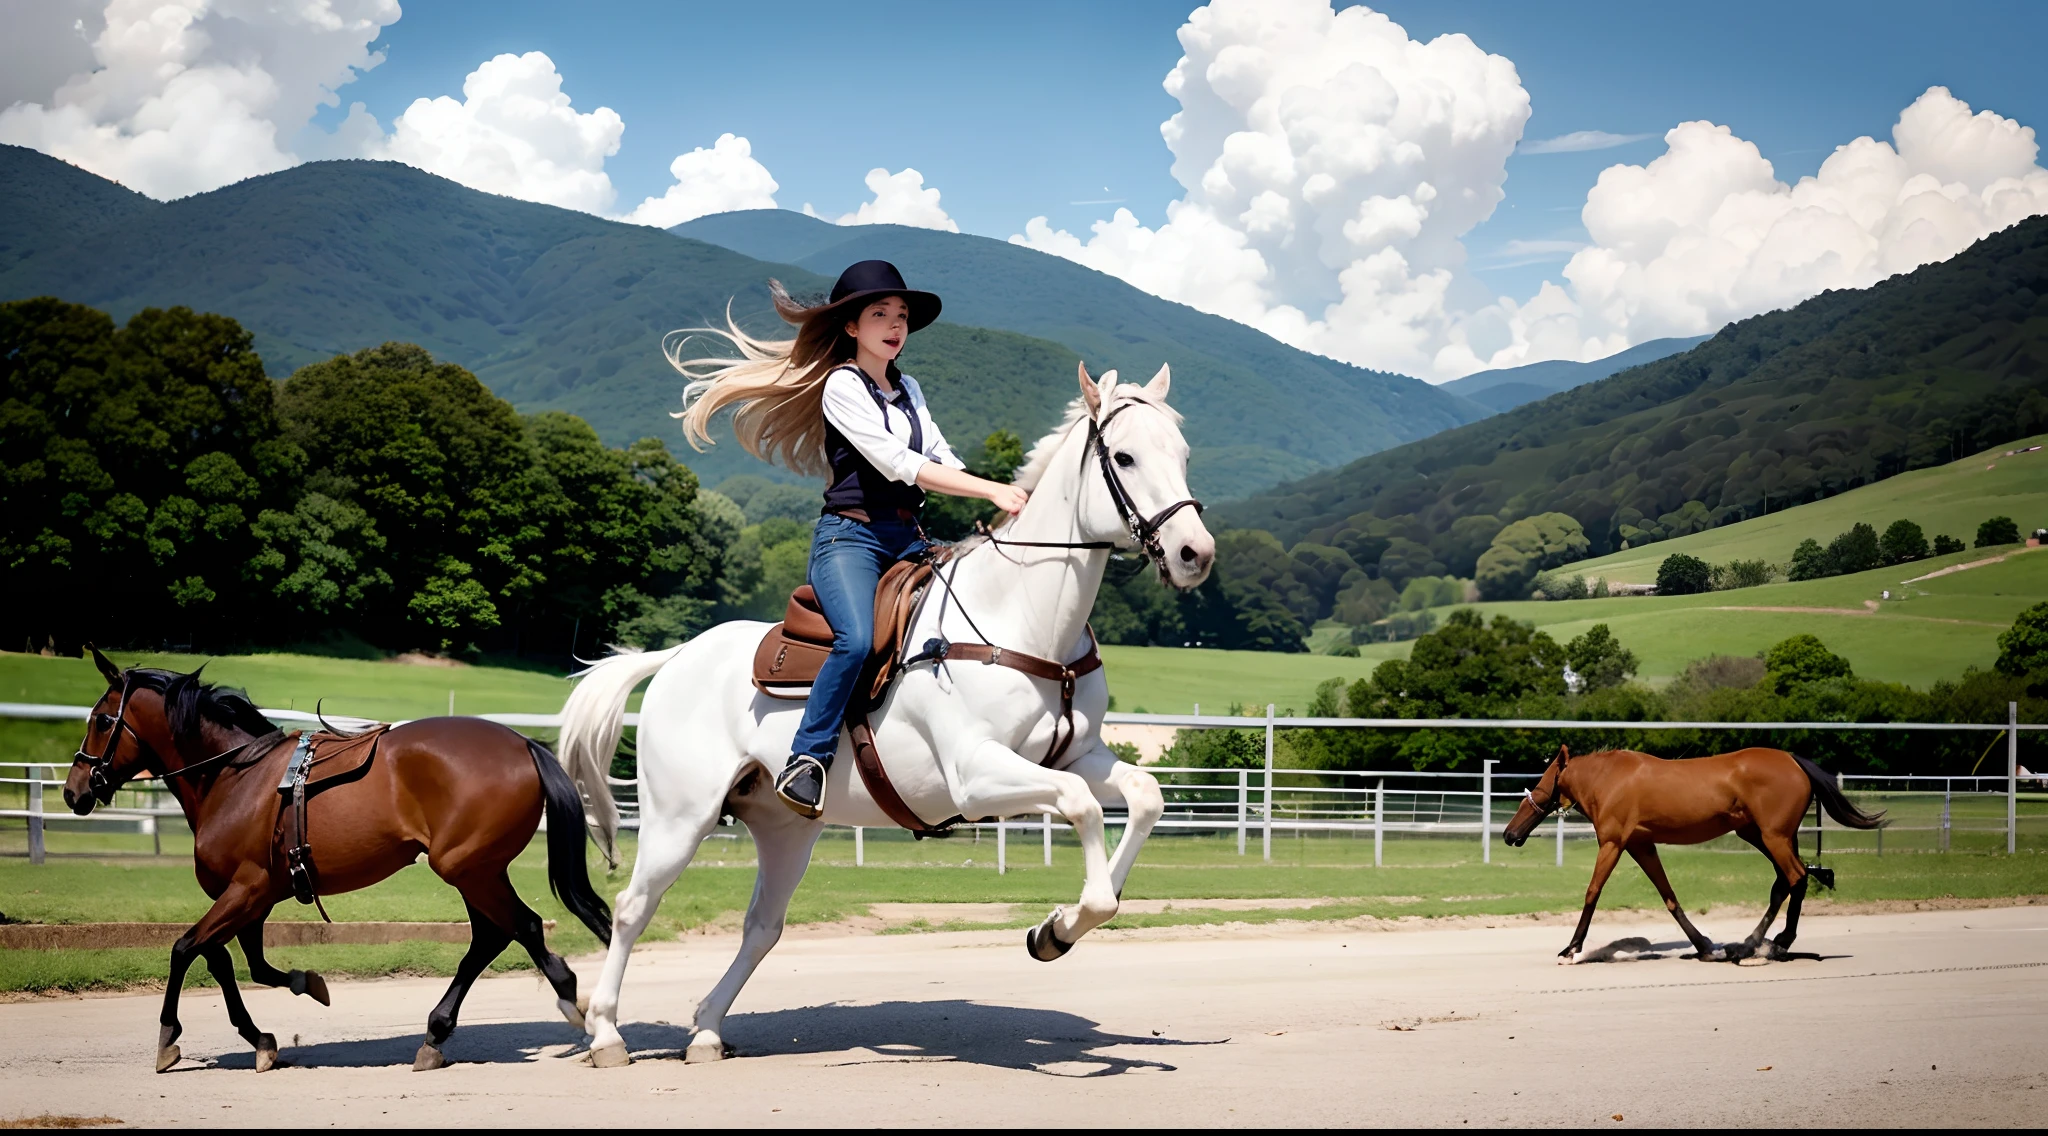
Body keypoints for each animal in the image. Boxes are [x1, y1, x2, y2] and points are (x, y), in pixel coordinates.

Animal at [61, 650, 606, 1072]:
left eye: (101, 721)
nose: (74, 790)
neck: (235, 776)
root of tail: (523, 742)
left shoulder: (247, 889)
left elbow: (185, 948)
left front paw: (169, 1035)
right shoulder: (252, 897)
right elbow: (237, 963)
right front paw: (284, 1010)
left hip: (467, 869)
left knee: (521, 927)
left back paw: (577, 1011)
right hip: (476, 871)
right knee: (493, 937)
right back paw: (436, 1034)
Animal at [557, 364, 1212, 1064]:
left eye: (1183, 455)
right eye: (1125, 456)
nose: (1195, 552)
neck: (1023, 617)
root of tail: (679, 655)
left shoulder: (1077, 754)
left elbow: (1143, 797)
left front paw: (1057, 926)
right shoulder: (977, 775)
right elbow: (1081, 807)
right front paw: (1064, 925)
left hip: (785, 829)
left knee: (761, 927)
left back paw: (705, 1029)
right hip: (680, 818)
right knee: (632, 908)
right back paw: (605, 1033)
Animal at [1499, 745, 1875, 962]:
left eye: (1541, 783)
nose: (1509, 833)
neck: (1608, 780)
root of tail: (1794, 761)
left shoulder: (1613, 843)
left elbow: (1593, 891)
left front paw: (1571, 948)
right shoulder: (1640, 844)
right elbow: (1669, 896)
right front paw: (1705, 946)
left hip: (1773, 837)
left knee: (1795, 878)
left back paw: (1775, 944)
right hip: (1764, 835)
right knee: (1786, 881)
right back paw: (1749, 944)